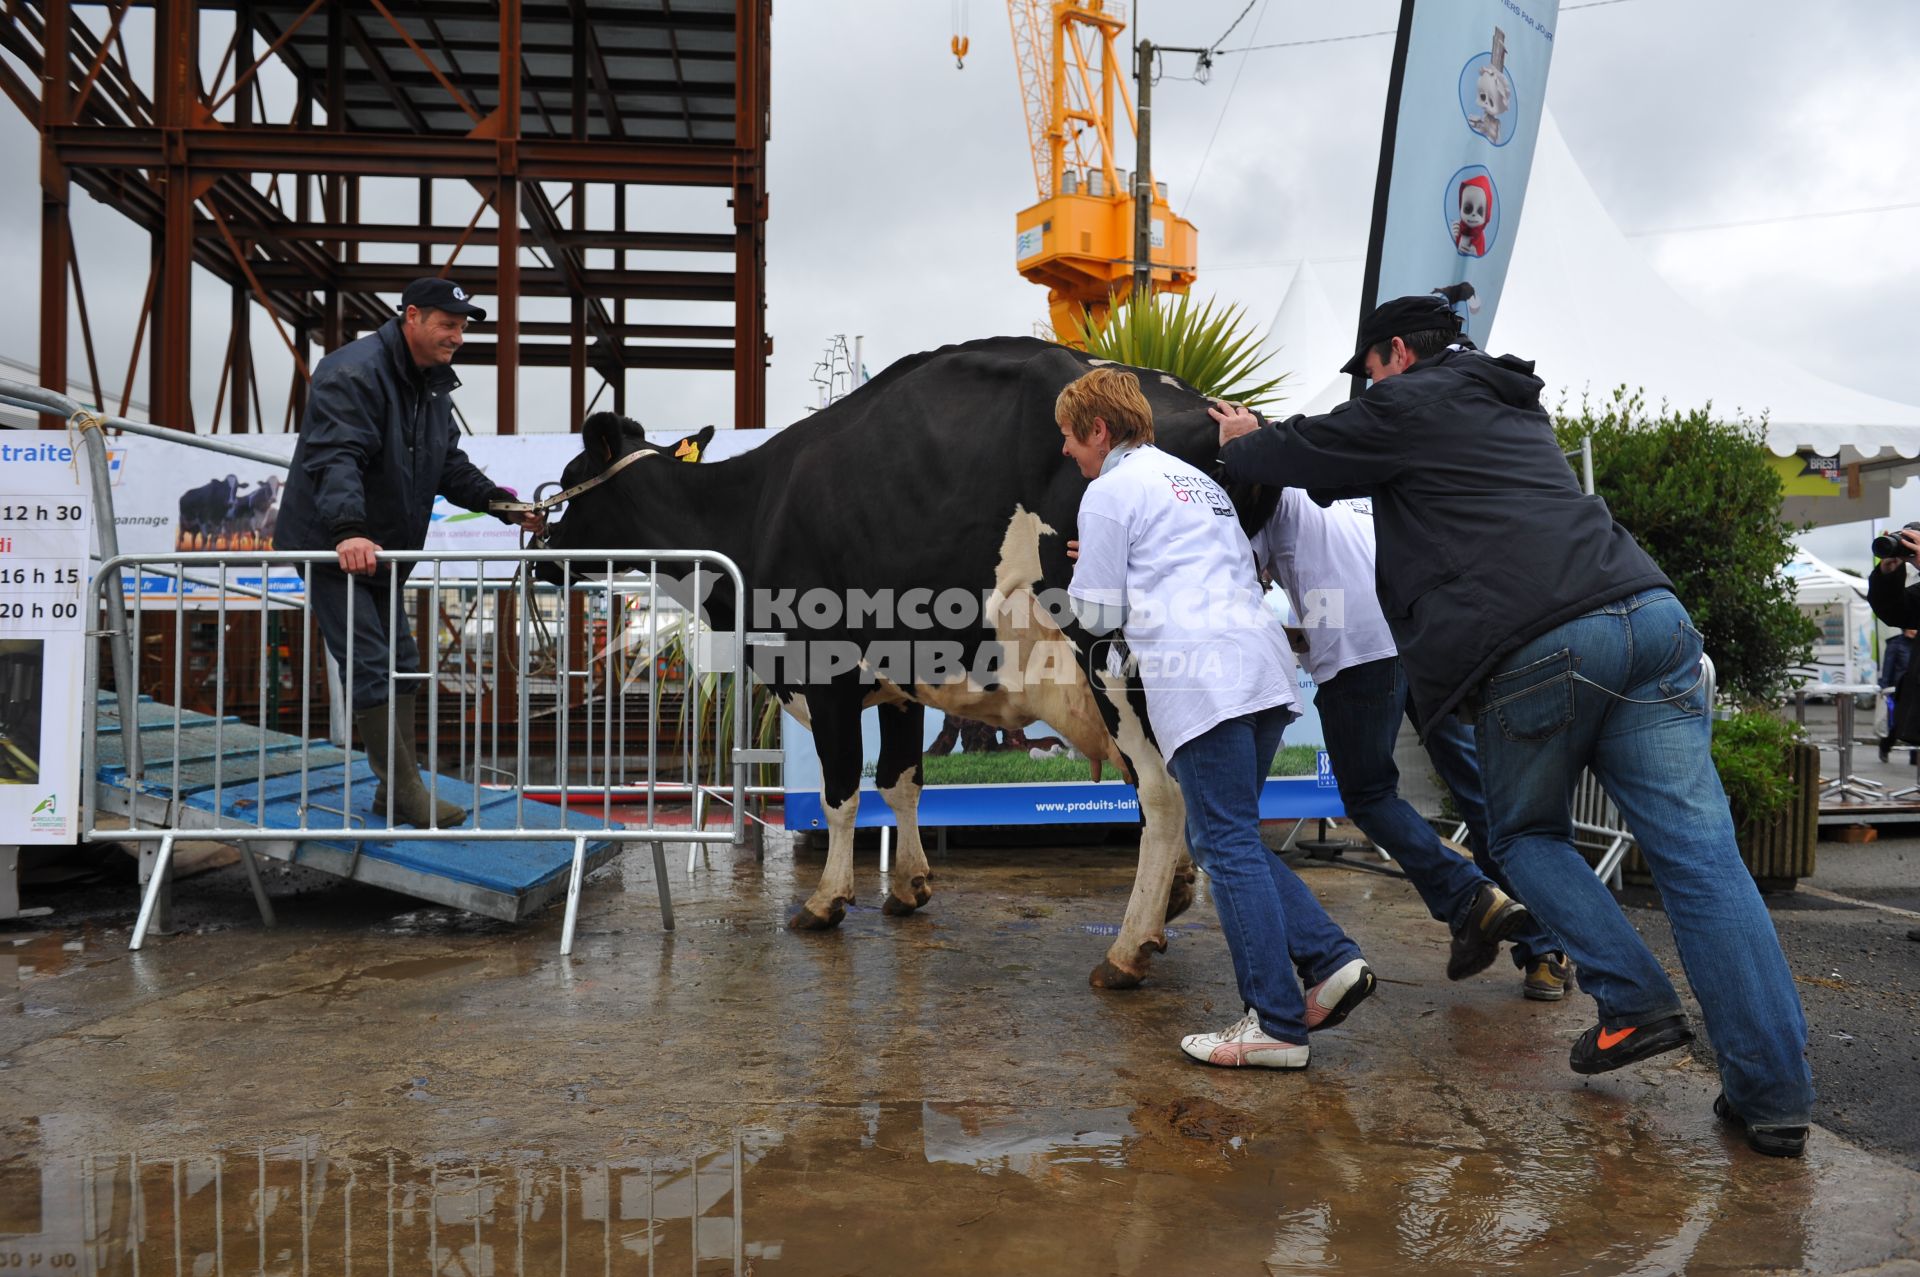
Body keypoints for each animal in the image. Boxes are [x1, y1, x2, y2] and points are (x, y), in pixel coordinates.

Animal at [541, 337, 1274, 983]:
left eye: (571, 481)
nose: (541, 548)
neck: (753, 515)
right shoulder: (899, 684)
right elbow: (900, 779)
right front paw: (910, 885)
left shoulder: (826, 673)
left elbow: (840, 792)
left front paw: (826, 900)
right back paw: (1173, 899)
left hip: (1115, 663)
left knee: (1163, 791)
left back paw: (1127, 948)